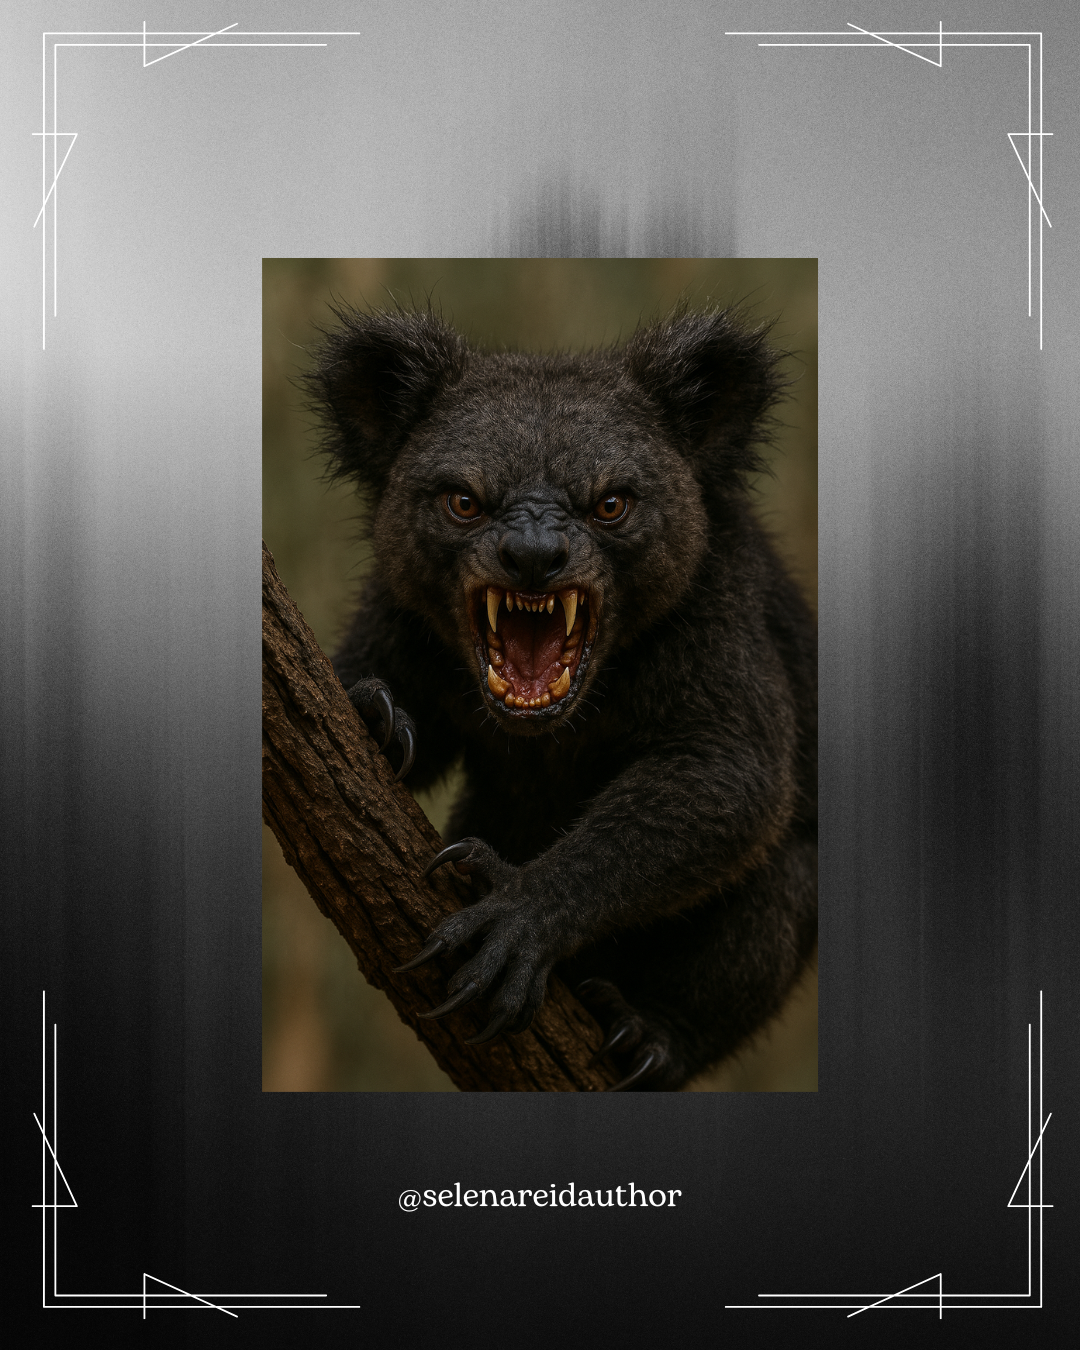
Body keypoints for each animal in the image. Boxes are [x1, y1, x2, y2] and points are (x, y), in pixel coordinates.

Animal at [304, 302, 817, 1091]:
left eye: (611, 503)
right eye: (464, 500)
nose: (534, 557)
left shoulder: (722, 639)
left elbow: (732, 777)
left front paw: (515, 921)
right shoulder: (396, 621)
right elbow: (380, 713)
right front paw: (375, 713)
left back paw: (643, 1034)